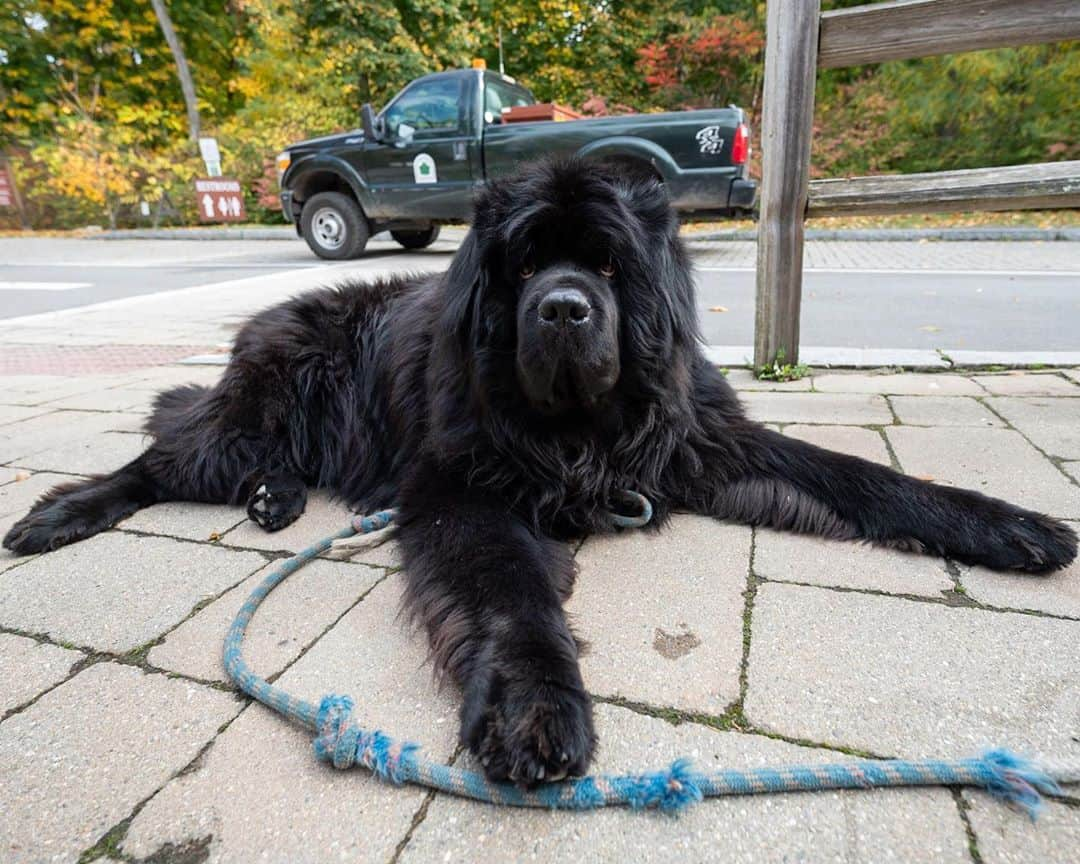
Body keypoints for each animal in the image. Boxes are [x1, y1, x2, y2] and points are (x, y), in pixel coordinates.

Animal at [4, 155, 1075, 781]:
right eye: (522, 268)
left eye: (607, 268)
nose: (562, 309)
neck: (578, 432)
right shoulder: (461, 492)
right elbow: (511, 596)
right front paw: (534, 707)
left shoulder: (703, 443)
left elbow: (864, 477)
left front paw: (1011, 524)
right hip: (248, 416)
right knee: (162, 457)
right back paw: (60, 513)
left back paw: (274, 501)